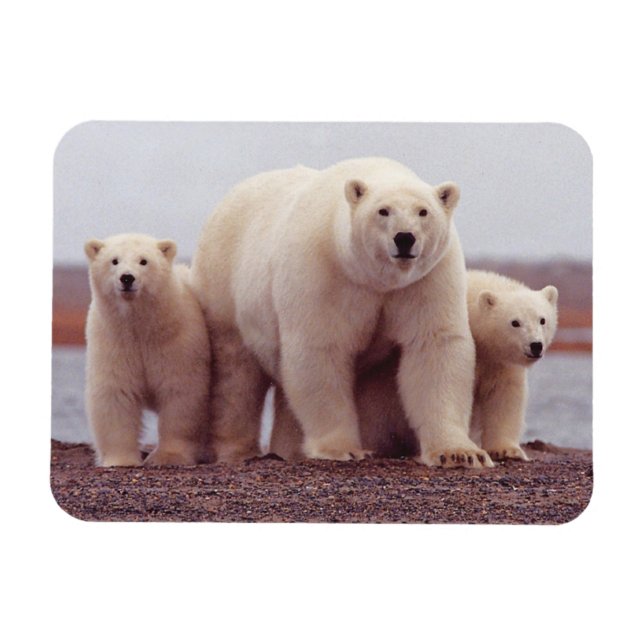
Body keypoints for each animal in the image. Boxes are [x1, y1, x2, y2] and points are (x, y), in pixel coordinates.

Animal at [84, 233, 211, 467]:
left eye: (144, 261)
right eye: (114, 260)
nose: (127, 278)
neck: (141, 328)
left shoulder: (177, 342)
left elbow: (180, 393)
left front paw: (168, 457)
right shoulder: (114, 342)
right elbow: (116, 393)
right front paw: (121, 460)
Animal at [192, 157, 492, 468]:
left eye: (423, 211)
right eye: (383, 211)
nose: (404, 238)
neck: (375, 279)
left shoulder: (426, 279)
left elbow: (434, 346)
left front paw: (460, 453)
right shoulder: (324, 272)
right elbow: (321, 349)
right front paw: (343, 449)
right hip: (224, 287)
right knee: (236, 376)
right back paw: (237, 450)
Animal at [341, 269, 559, 462]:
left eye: (542, 320)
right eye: (515, 322)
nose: (535, 345)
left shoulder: (498, 362)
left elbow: (504, 395)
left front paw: (507, 450)